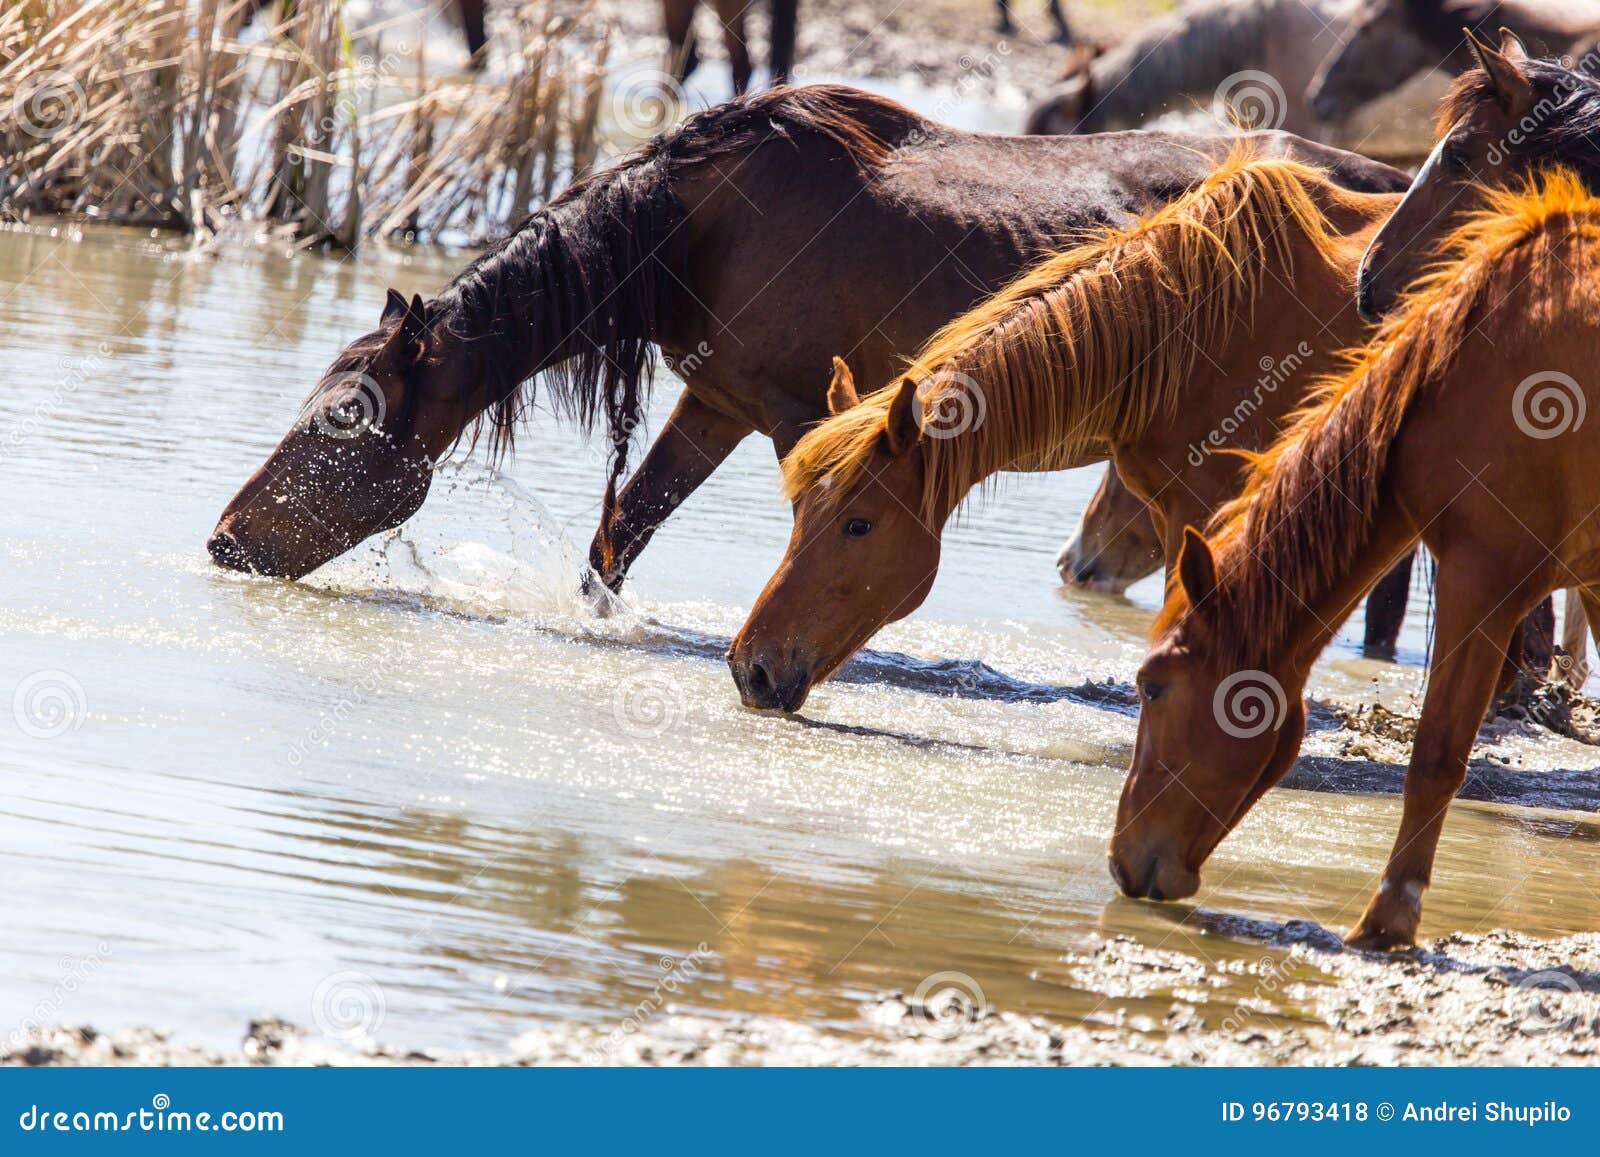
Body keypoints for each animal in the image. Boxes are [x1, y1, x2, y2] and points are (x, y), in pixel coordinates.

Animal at [208, 85, 1405, 585]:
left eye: (341, 418)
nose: (224, 537)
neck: (689, 231)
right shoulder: (718, 401)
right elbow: (618, 538)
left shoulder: (798, 414)